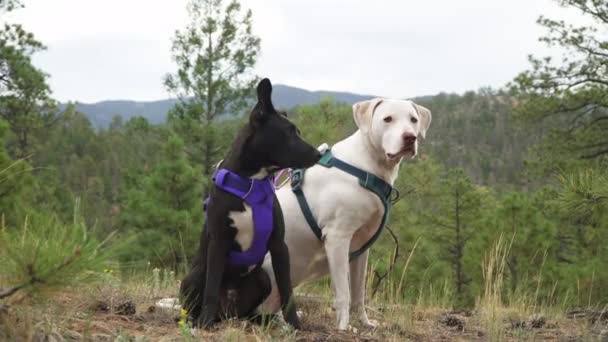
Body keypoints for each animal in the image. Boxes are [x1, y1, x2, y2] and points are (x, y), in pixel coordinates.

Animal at [180, 78, 320, 328]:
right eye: (289, 133)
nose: (318, 155)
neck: (251, 183)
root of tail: (227, 312)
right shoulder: (218, 243)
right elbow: (211, 287)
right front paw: (205, 322)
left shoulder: (279, 246)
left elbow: (287, 290)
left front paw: (294, 323)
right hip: (194, 276)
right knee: (198, 297)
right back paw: (199, 319)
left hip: (262, 278)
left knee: (250, 309)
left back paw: (261, 320)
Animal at [258, 97, 430, 330]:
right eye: (387, 119)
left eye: (413, 120)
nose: (410, 137)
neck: (368, 165)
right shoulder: (337, 238)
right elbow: (343, 293)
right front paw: (344, 327)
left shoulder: (362, 247)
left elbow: (358, 294)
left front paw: (365, 323)